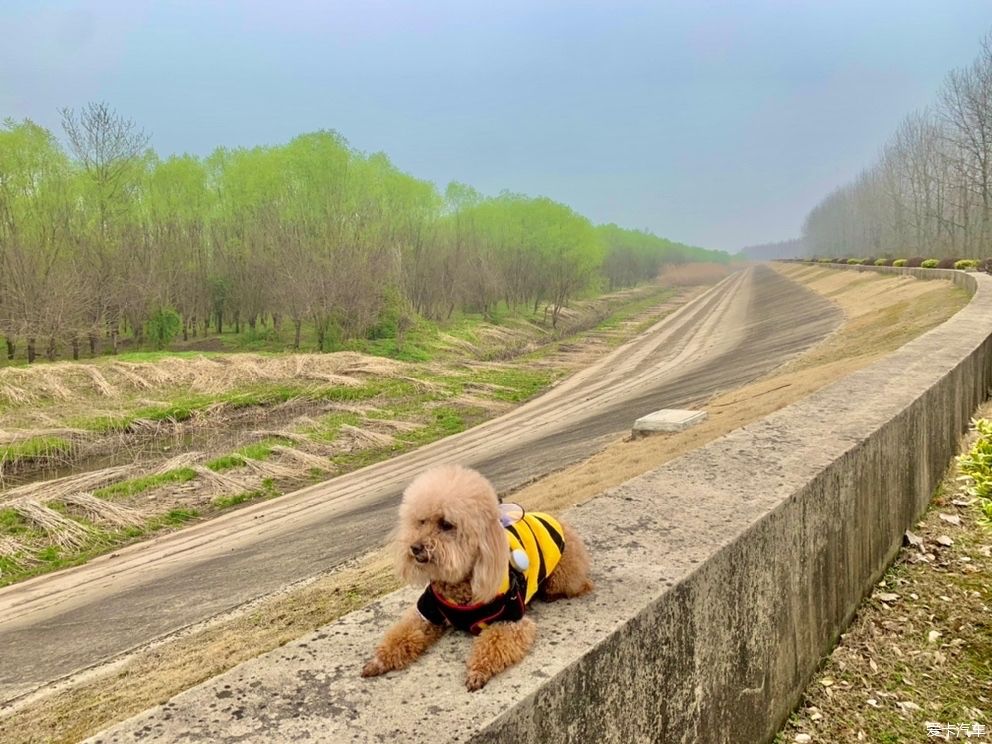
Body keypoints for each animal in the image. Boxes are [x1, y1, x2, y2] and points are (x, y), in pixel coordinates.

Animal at [360, 464, 592, 692]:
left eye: (446, 524)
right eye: (421, 521)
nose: (414, 548)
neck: (459, 585)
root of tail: (556, 519)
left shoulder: (510, 619)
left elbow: (493, 643)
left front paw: (478, 671)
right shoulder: (427, 611)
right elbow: (403, 632)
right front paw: (378, 661)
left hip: (563, 575)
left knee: (576, 585)